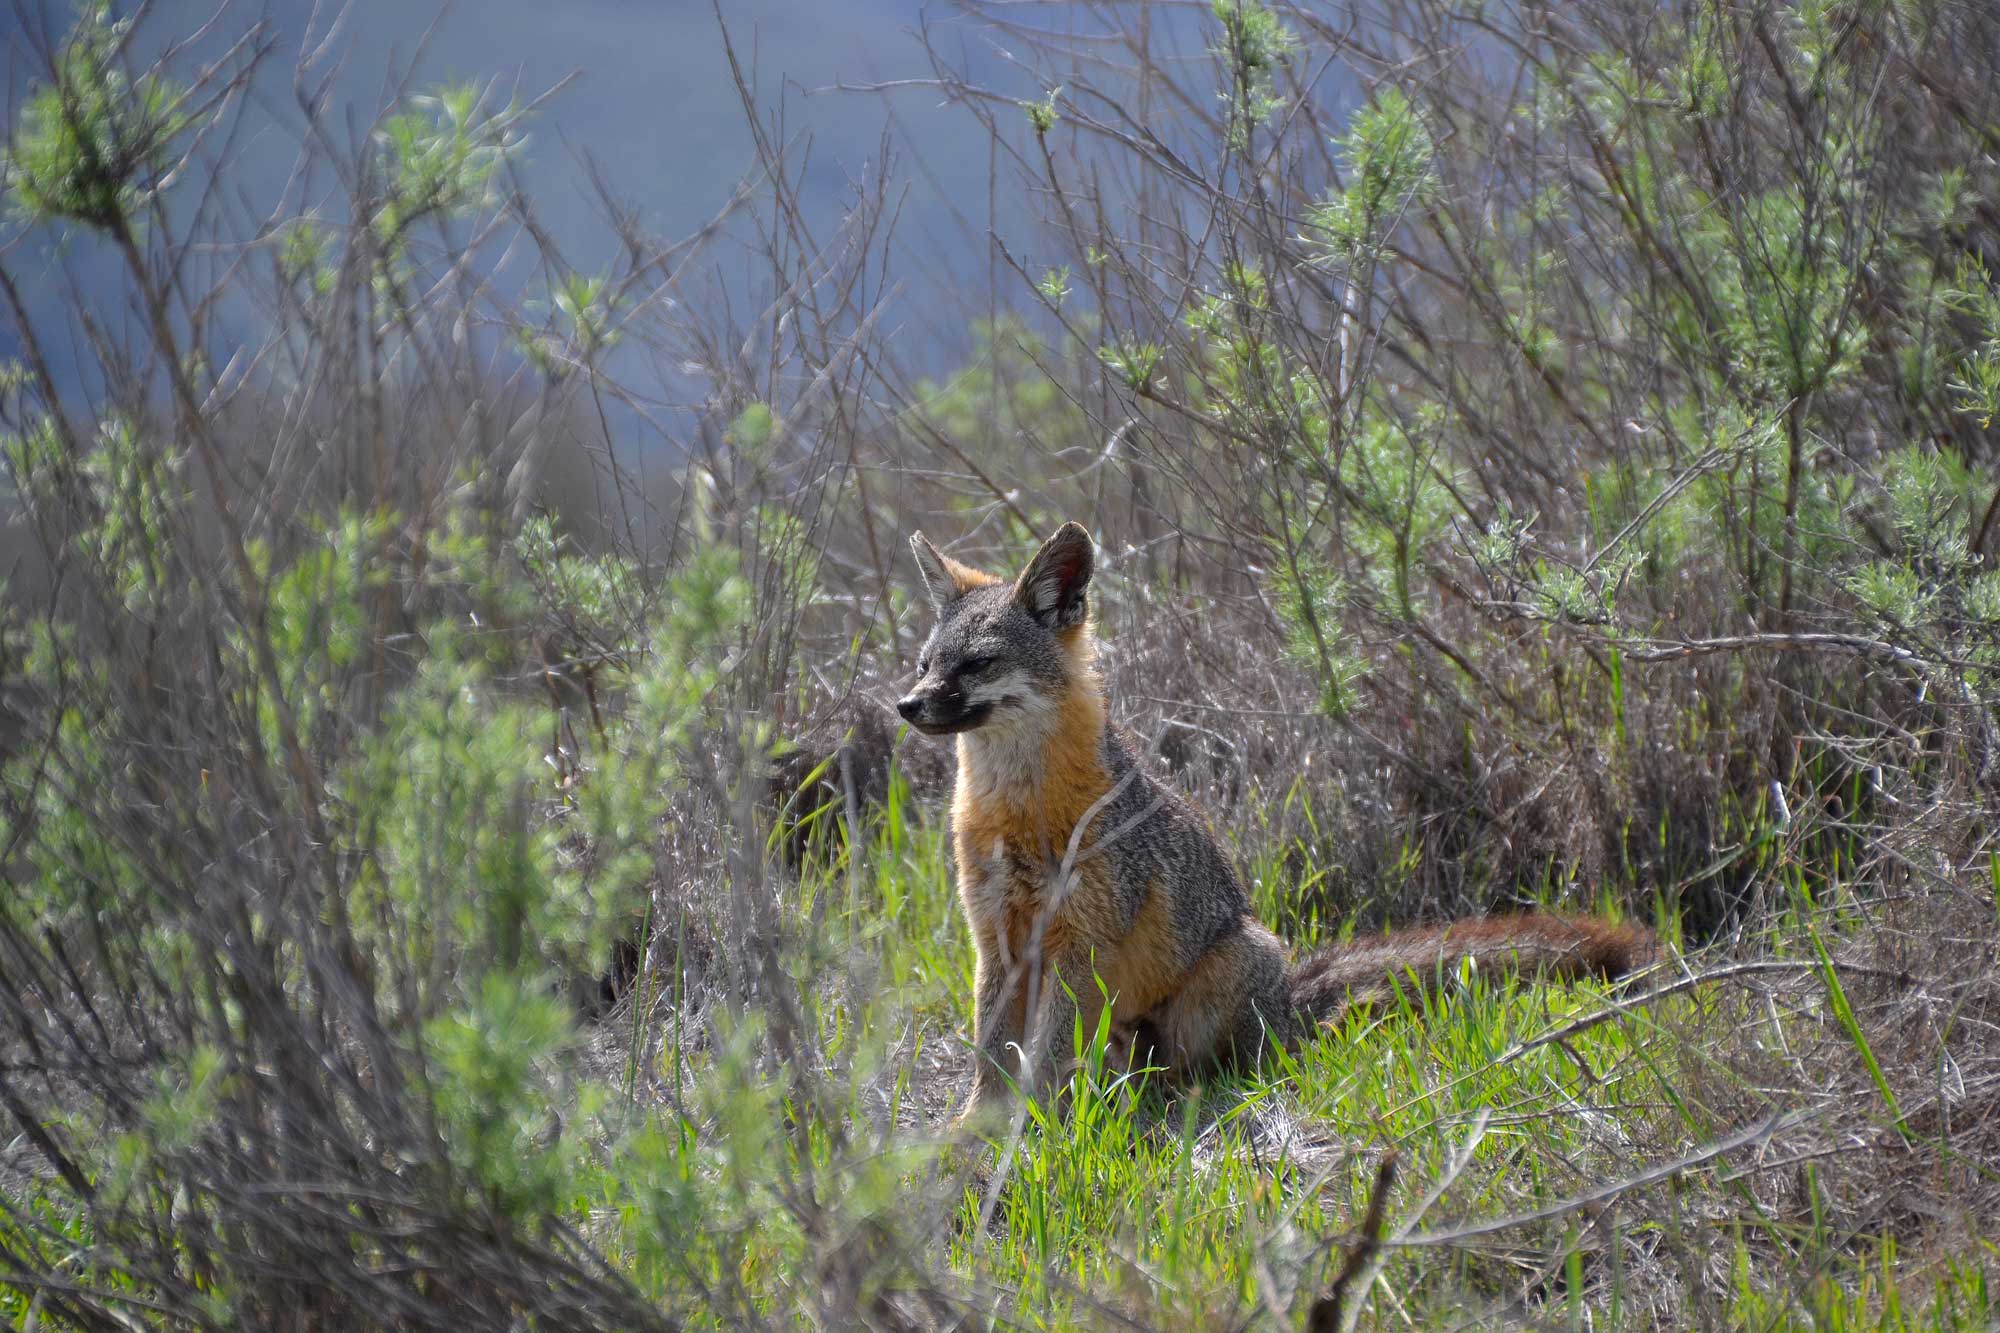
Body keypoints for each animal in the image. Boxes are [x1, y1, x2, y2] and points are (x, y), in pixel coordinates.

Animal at [897, 520, 1654, 1121]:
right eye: (926, 664)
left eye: (977, 664)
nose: (906, 704)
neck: (1018, 813)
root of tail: (1291, 996)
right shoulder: (996, 940)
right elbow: (990, 1055)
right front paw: (973, 1130)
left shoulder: (1077, 947)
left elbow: (1044, 1060)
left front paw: (1027, 1133)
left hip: (1218, 983)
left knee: (1205, 1071)